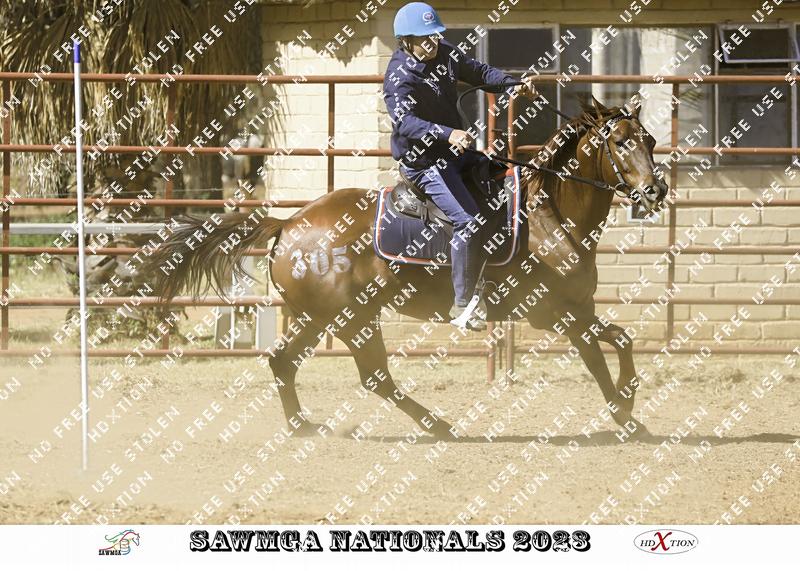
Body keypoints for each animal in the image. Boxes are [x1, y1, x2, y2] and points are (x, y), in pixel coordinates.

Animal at [144, 96, 668, 441]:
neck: (546, 215)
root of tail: (289, 222)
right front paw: (626, 415)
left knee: (285, 361)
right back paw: (437, 424)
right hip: (350, 318)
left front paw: (629, 403)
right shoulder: (556, 314)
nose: (656, 190)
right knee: (373, 376)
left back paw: (303, 425)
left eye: (649, 140)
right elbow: (599, 358)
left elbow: (621, 340)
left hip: (320, 318)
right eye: (620, 143)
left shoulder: (578, 309)